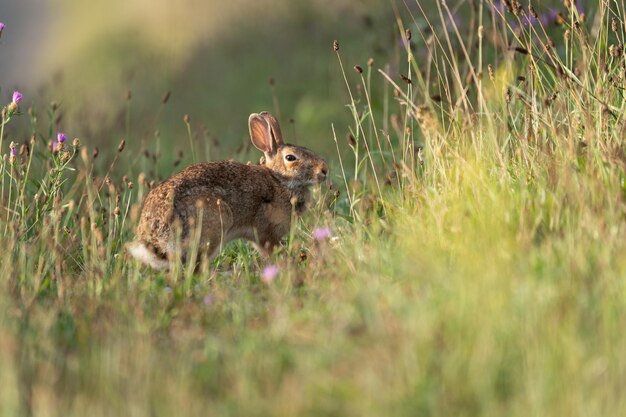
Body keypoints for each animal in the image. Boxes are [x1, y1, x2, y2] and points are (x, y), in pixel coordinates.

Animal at [129, 110, 330, 268]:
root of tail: (156, 238)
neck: (279, 180)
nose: (324, 170)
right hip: (215, 223)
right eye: (291, 158)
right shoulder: (265, 231)